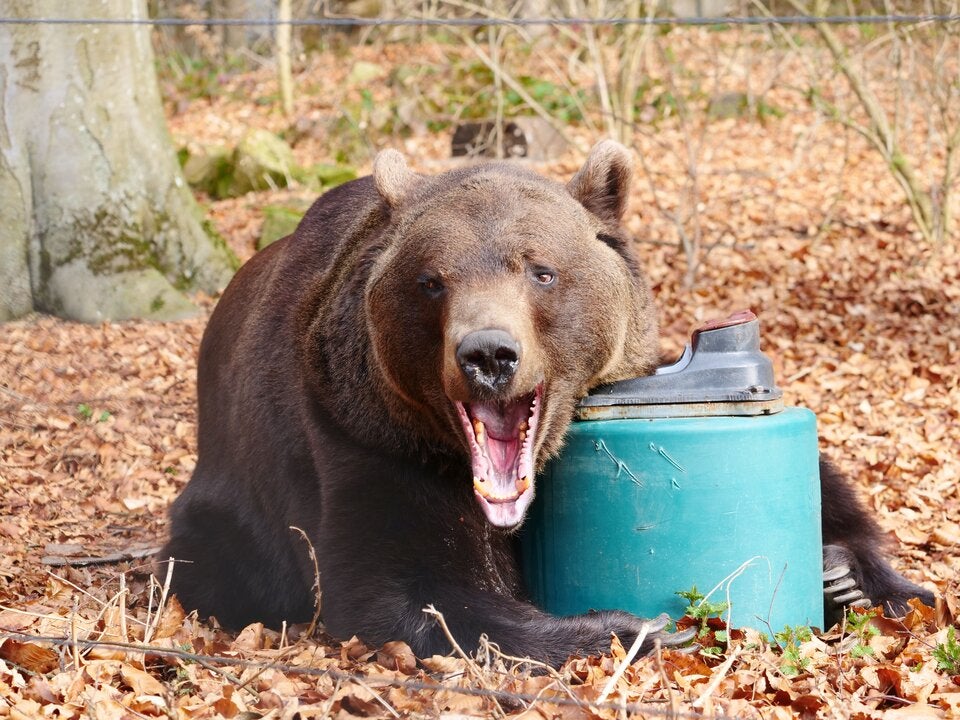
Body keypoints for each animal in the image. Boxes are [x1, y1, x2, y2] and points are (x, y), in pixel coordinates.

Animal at [160, 141, 933, 666]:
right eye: (431, 281)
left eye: (541, 271)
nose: (487, 354)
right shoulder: (365, 437)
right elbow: (406, 586)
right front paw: (633, 627)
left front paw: (859, 577)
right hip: (229, 505)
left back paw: (853, 576)